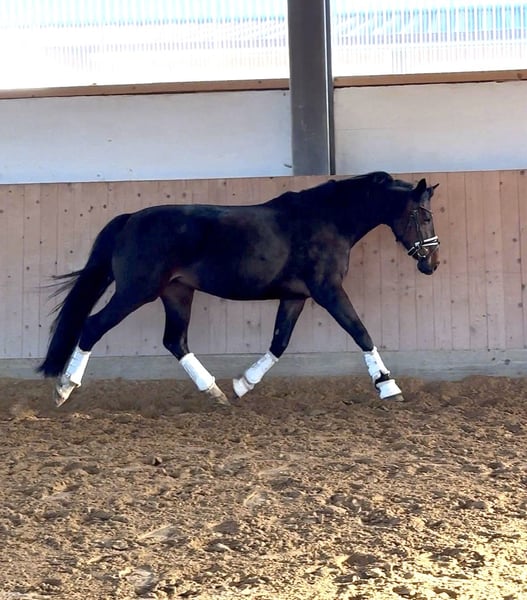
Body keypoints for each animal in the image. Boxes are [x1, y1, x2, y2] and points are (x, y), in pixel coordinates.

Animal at [38, 171, 440, 407]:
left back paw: (215, 392)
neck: (328, 220)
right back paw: (64, 388)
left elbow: (279, 343)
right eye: (423, 216)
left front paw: (243, 384)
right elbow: (361, 332)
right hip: (136, 291)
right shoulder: (327, 291)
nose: (431, 264)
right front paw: (388, 386)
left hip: (177, 293)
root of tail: (129, 220)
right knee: (93, 326)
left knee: (175, 340)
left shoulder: (295, 296)